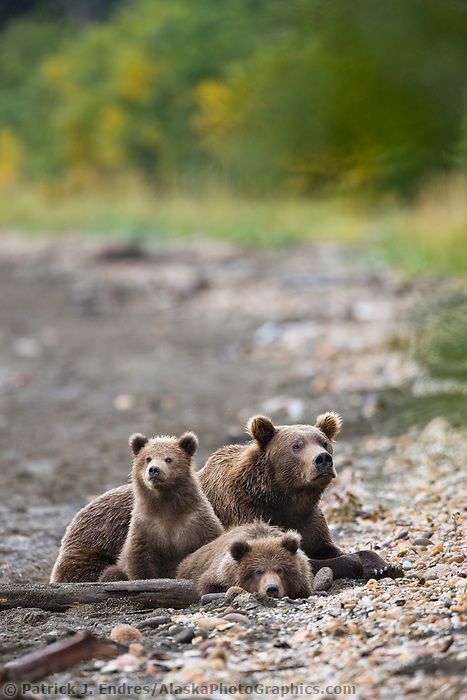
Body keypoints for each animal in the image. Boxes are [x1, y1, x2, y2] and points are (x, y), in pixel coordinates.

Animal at [198, 410, 402, 580]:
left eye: (324, 443)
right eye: (296, 446)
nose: (323, 458)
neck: (285, 497)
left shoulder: (309, 519)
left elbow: (325, 546)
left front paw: (384, 566)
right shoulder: (247, 512)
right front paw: (357, 563)